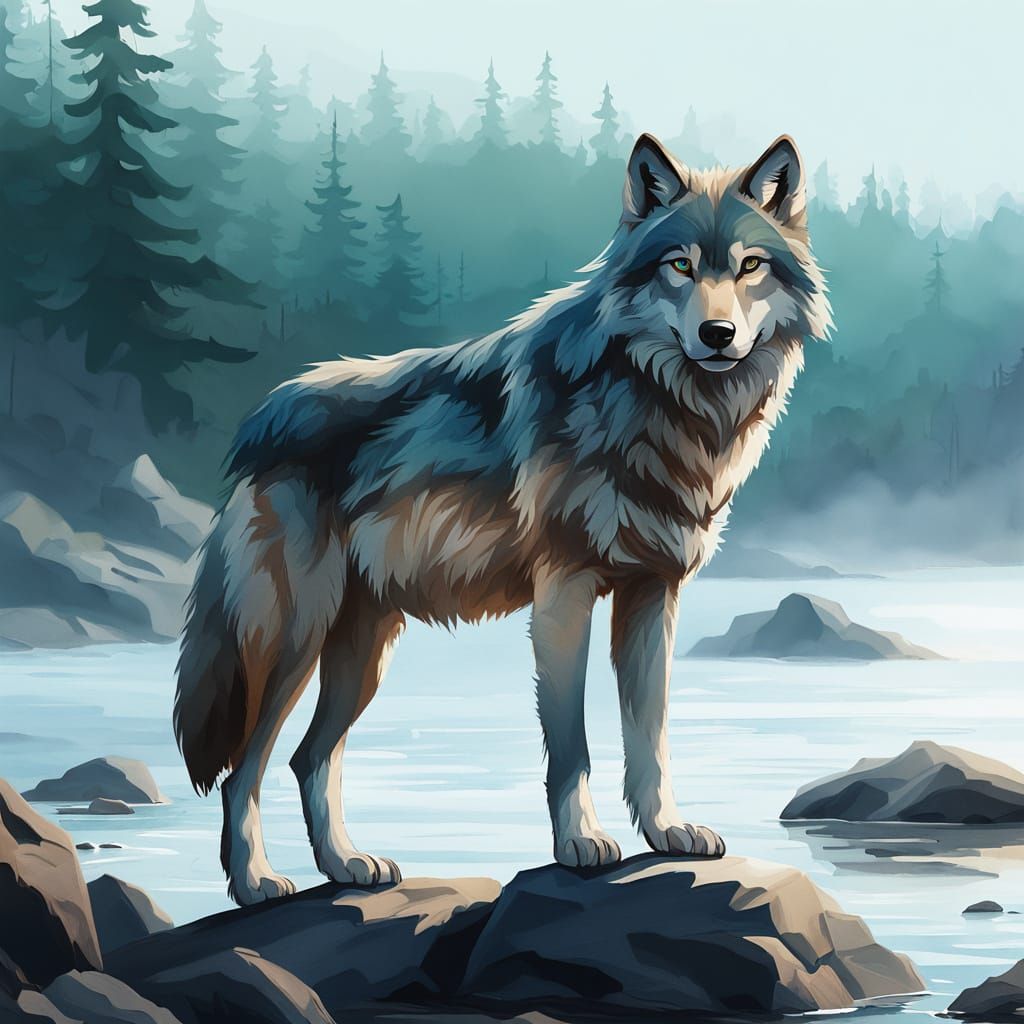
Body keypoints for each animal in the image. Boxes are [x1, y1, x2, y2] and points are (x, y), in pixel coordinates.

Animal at [175, 133, 831, 905]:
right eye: (680, 266)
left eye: (749, 265)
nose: (718, 332)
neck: (661, 405)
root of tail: (258, 426)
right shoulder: (563, 595)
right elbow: (572, 745)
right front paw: (581, 843)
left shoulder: (653, 595)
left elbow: (651, 735)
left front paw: (667, 832)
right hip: (292, 642)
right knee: (243, 769)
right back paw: (255, 881)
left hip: (361, 653)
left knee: (310, 758)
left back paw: (347, 866)